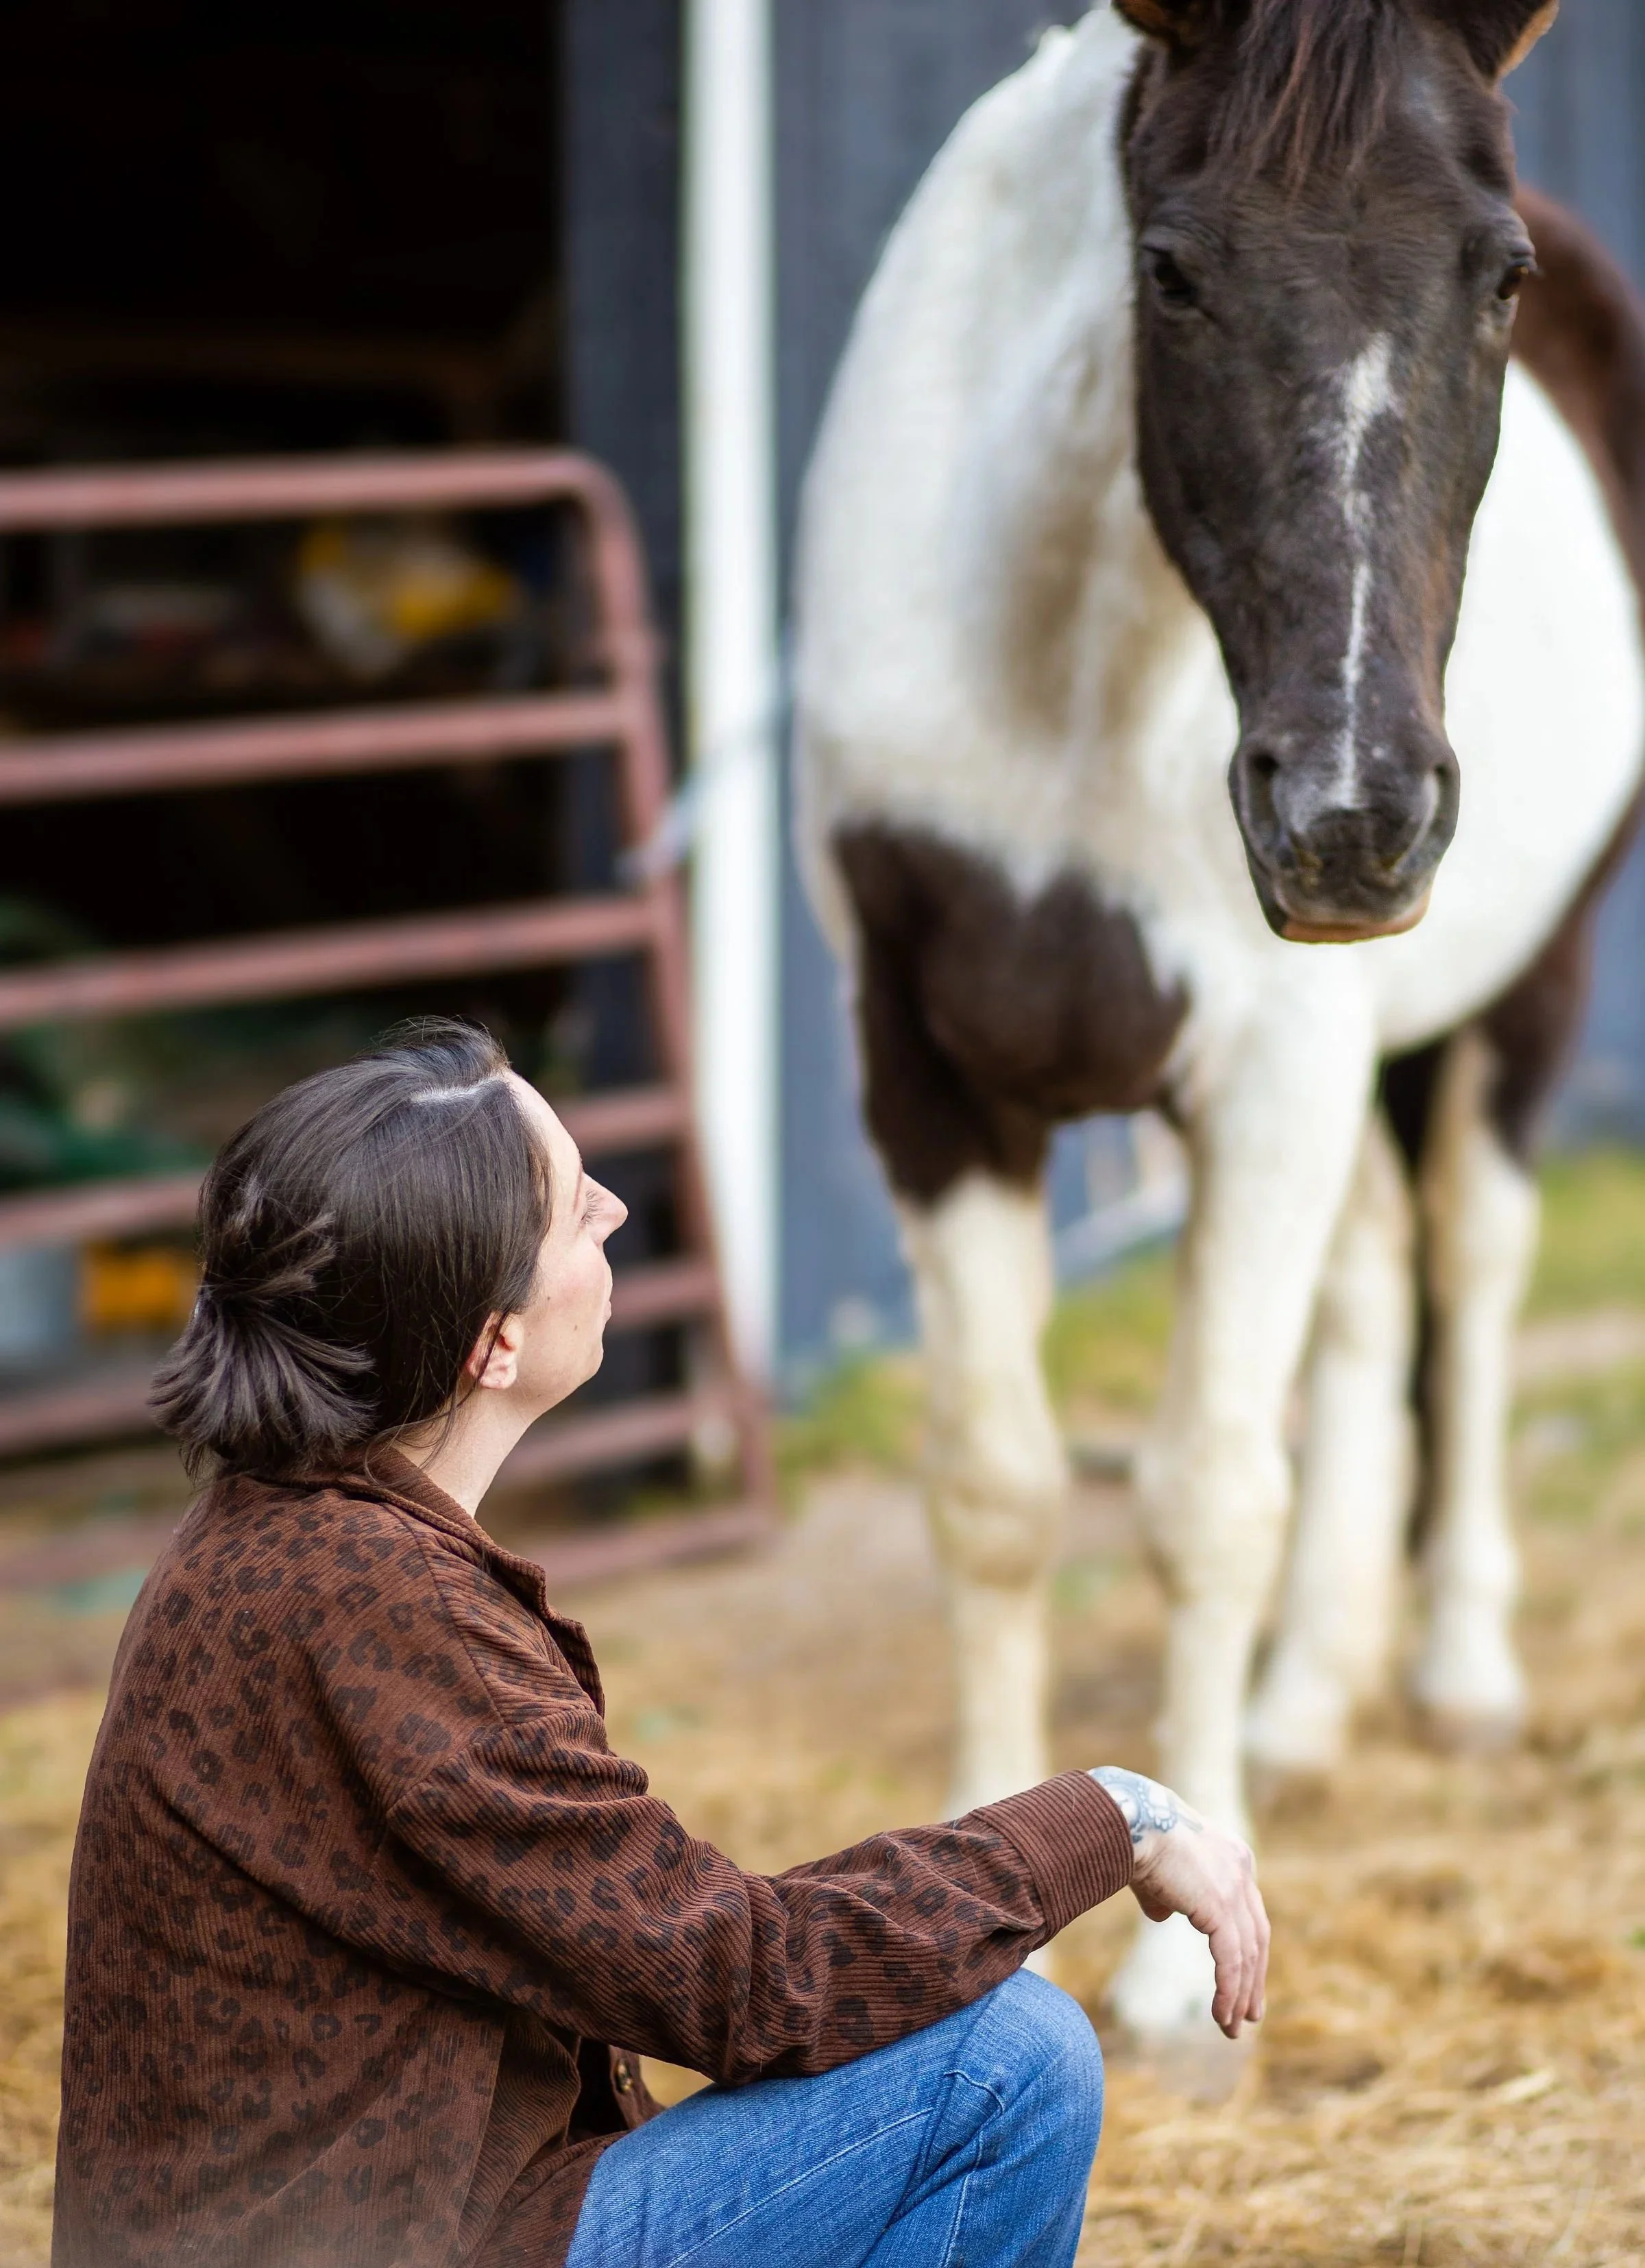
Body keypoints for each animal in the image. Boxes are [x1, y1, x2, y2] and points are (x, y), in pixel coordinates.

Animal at [793, 0, 1645, 2047]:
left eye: (1494, 277)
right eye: (1168, 270)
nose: (1352, 812)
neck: (1071, 683)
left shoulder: (1270, 1069)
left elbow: (1200, 1497)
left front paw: (1179, 1997)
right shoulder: (923, 1073)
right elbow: (999, 1487)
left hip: (1515, 990)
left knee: (1466, 1269)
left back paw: (1456, 1664)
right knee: (1359, 1304)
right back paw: (1307, 1697)